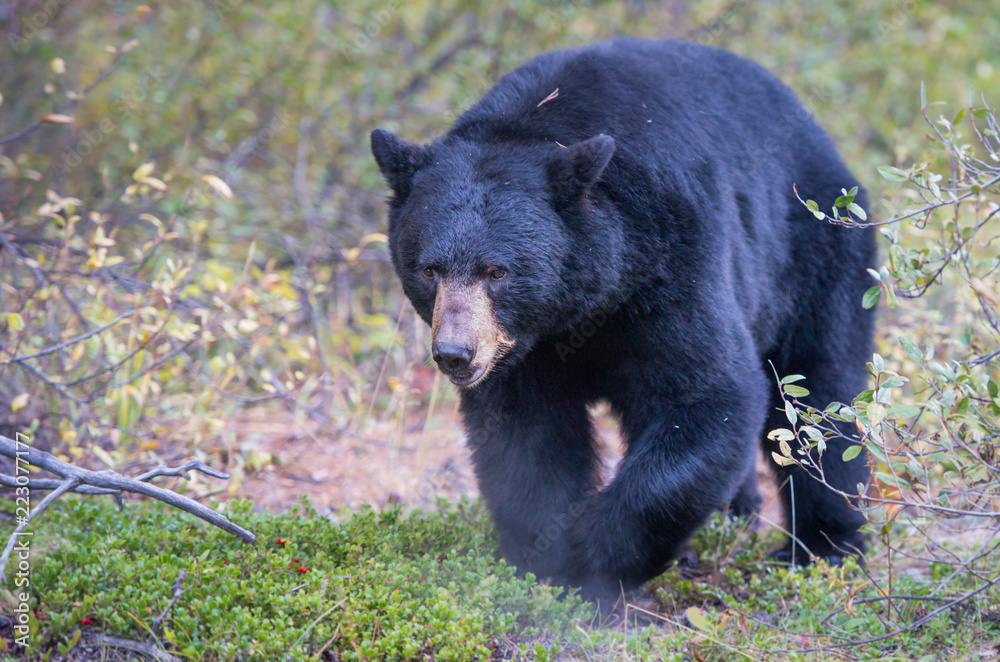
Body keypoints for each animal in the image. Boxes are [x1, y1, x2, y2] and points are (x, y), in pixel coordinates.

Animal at [371, 37, 874, 602]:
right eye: (429, 269)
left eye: (497, 271)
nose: (455, 354)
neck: (580, 304)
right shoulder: (522, 350)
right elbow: (526, 435)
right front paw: (546, 559)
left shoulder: (672, 258)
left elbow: (708, 394)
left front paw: (593, 554)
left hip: (813, 252)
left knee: (821, 392)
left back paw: (823, 547)